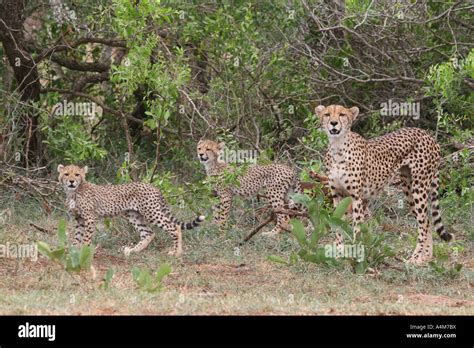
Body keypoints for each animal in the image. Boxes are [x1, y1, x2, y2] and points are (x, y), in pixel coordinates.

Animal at [56, 163, 205, 256]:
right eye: (66, 174)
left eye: (77, 174)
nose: (71, 181)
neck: (73, 192)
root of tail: (153, 186)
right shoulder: (79, 219)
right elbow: (77, 237)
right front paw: (73, 252)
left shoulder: (90, 218)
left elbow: (86, 238)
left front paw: (84, 252)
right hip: (134, 215)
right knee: (148, 233)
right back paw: (133, 251)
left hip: (152, 213)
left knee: (174, 227)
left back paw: (176, 253)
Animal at [314, 104, 452, 266]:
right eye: (327, 114)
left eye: (342, 114)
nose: (334, 123)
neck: (338, 147)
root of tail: (427, 134)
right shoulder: (337, 195)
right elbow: (338, 224)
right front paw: (339, 253)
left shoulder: (357, 197)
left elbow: (357, 228)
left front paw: (356, 254)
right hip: (408, 188)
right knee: (427, 220)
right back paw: (426, 257)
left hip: (419, 186)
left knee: (424, 223)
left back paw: (416, 258)